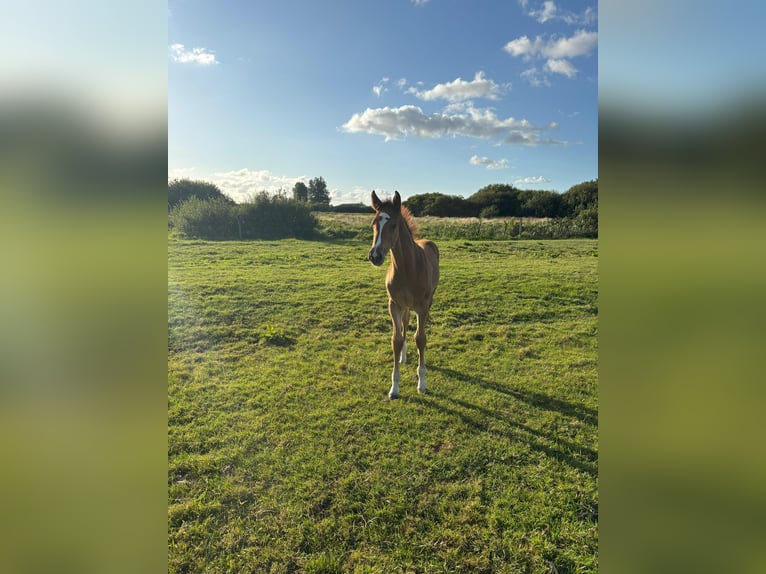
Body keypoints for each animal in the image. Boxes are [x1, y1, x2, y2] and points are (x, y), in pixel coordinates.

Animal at [368, 190, 440, 399]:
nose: (375, 256)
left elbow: (421, 339)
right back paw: (403, 356)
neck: (408, 268)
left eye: (393, 225)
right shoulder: (394, 304)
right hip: (406, 306)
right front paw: (394, 388)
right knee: (406, 324)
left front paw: (422, 383)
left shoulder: (422, 307)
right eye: (373, 224)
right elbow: (397, 339)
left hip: (428, 301)